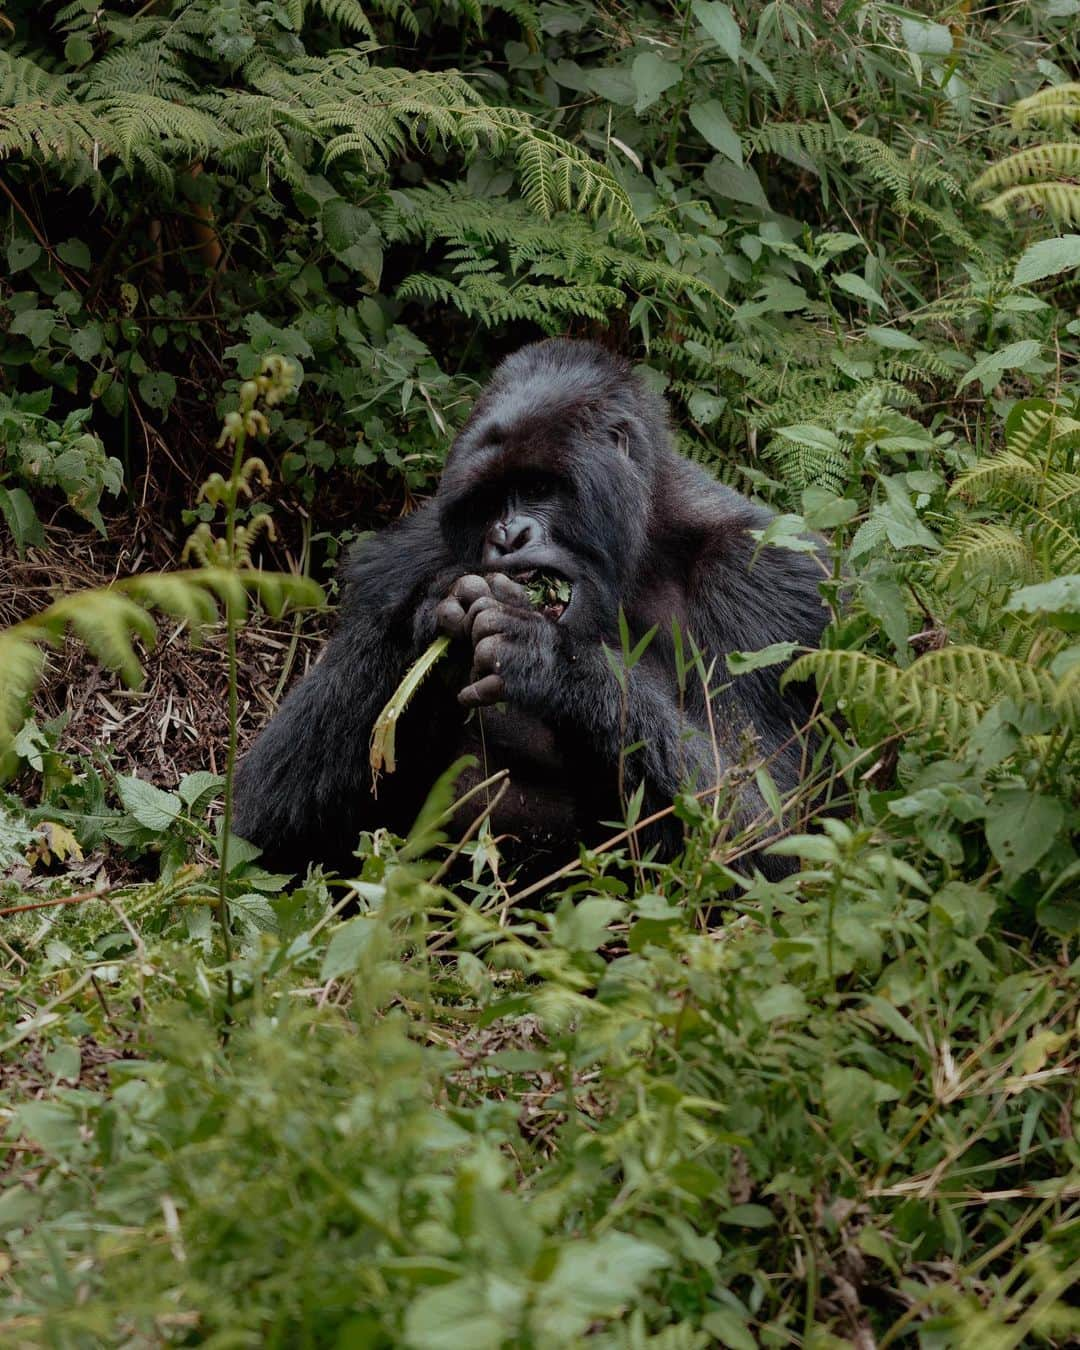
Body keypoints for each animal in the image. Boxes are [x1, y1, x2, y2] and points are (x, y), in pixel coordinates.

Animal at [233, 340, 826, 874]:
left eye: (539, 486)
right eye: (488, 501)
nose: (507, 535)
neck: (640, 553)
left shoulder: (767, 575)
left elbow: (766, 825)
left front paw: (552, 663)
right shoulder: (390, 562)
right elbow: (269, 829)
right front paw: (431, 616)